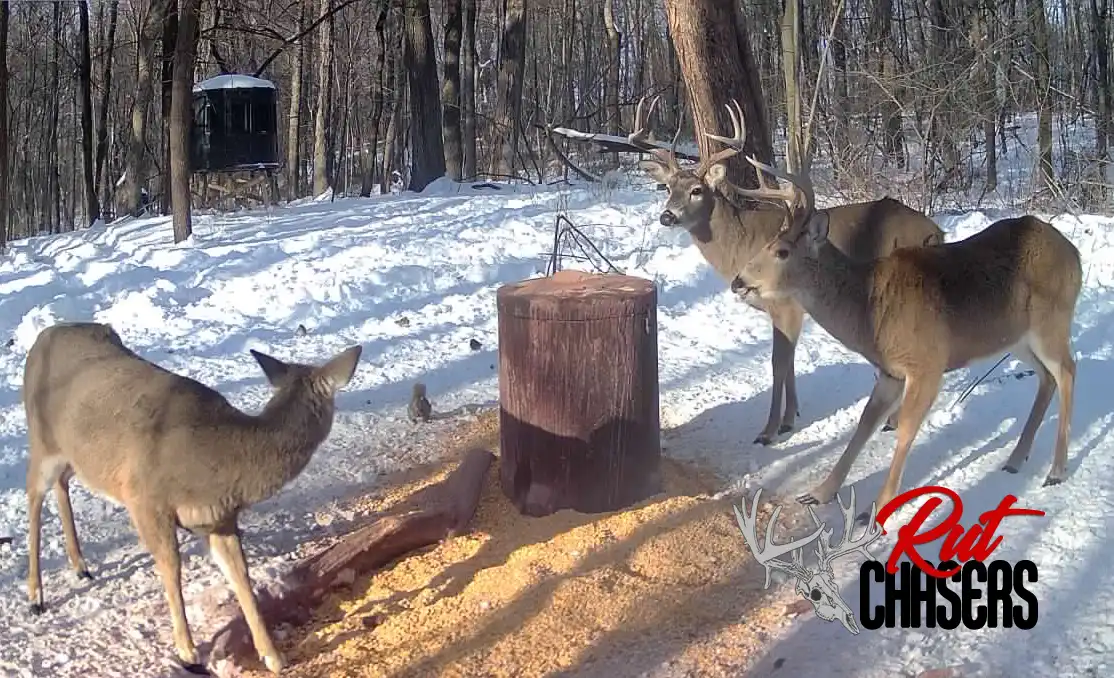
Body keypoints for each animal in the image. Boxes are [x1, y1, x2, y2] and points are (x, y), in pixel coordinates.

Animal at [23, 321, 363, 674]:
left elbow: (241, 577)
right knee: (33, 492)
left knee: (62, 482)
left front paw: (273, 656)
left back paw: (80, 566)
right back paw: (36, 595)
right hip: (41, 439)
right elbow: (172, 569)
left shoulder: (220, 519)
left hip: (74, 456)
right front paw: (187, 652)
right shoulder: (145, 500)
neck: (219, 459)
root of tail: (44, 336)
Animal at [628, 95, 945, 445]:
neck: (741, 242)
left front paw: (768, 430)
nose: (667, 216)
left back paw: (893, 420)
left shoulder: (785, 304)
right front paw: (789, 420)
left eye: (697, 190)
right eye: (668, 187)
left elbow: (778, 363)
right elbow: (789, 362)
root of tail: (935, 231)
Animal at [730, 138, 1082, 522]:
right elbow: (864, 425)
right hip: (1016, 337)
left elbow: (905, 432)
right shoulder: (890, 372)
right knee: (1046, 377)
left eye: (781, 251)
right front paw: (820, 492)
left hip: (1051, 321)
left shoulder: (927, 364)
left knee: (1067, 370)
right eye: (764, 246)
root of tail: (1074, 255)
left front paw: (876, 508)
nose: (738, 281)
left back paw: (1056, 469)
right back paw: (1016, 459)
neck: (868, 312)